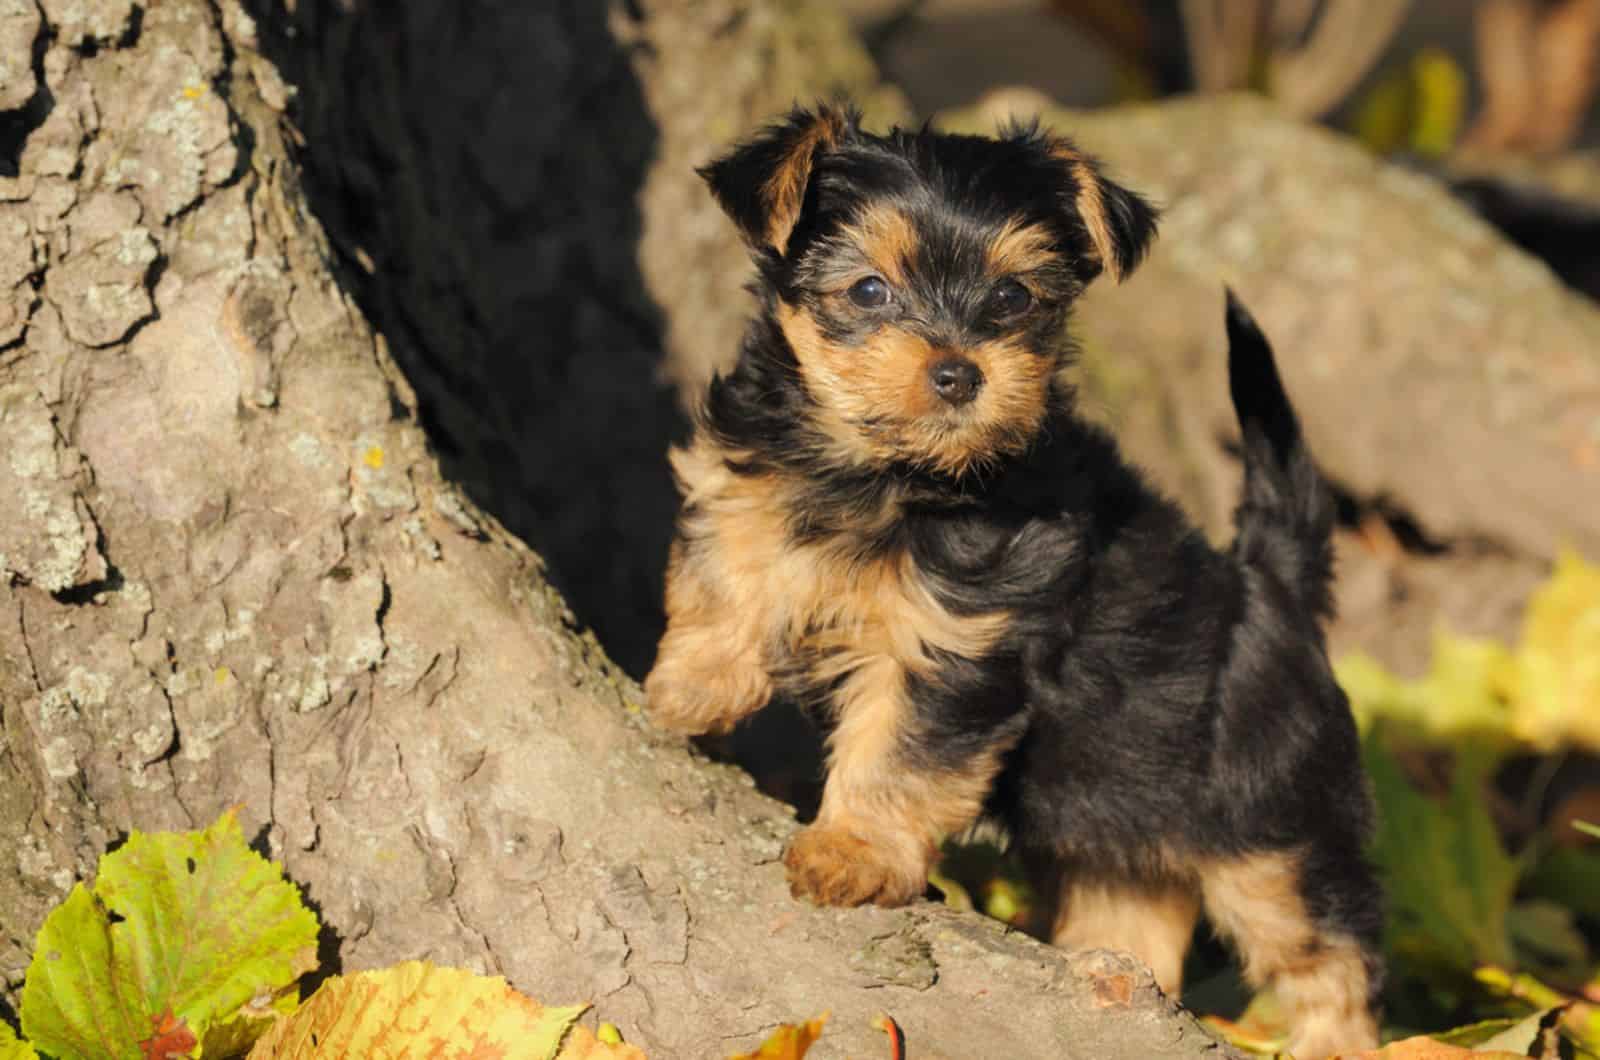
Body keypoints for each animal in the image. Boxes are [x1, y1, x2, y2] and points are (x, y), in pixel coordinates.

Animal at [643, 104, 1382, 1056]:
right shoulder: (750, 476)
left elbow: (900, 749)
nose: (961, 372)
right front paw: (694, 684)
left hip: (1273, 824)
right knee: (1134, 911)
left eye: (1012, 298)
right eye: (869, 292)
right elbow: (729, 556)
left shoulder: (956, 641)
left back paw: (1335, 1037)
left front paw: (853, 851)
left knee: (1326, 955)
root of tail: (1272, 586)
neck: (882, 474)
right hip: (1120, 813)